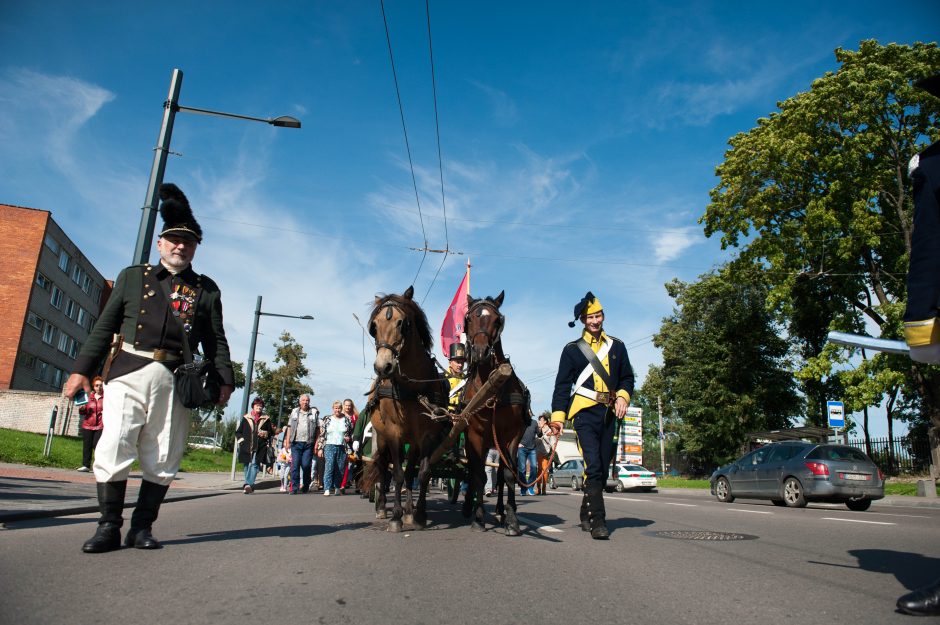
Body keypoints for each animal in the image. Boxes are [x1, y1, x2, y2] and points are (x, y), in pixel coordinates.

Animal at [360, 286, 448, 532]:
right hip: (381, 437)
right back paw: (383, 507)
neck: (412, 387)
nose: (383, 367)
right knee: (383, 467)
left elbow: (420, 473)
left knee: (410, 472)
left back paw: (409, 510)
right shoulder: (393, 433)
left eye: (402, 323)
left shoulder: (426, 436)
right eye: (374, 327)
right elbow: (397, 473)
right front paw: (396, 517)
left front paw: (417, 513)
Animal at [460, 290, 532, 532]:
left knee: (500, 474)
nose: (481, 352)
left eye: (497, 320)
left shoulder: (512, 435)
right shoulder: (475, 435)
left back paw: (501, 510)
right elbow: (478, 476)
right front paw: (478, 517)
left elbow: (509, 475)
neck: (490, 389)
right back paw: (468, 507)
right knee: (473, 471)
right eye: (468, 319)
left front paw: (511, 519)